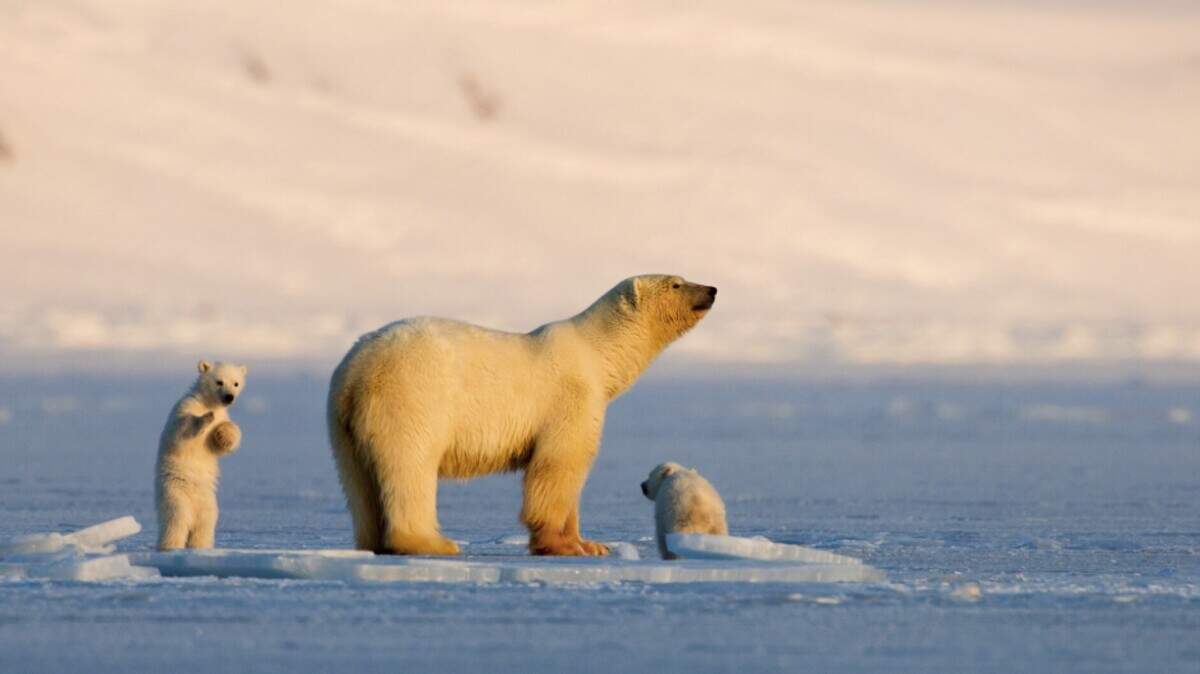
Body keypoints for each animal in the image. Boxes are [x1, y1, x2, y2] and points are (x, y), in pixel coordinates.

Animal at [155, 360, 246, 550]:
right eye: (219, 382)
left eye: (236, 383)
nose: (229, 397)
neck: (208, 402)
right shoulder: (185, 406)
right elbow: (180, 431)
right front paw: (205, 418)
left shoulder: (223, 415)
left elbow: (219, 443)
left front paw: (224, 434)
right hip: (175, 494)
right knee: (176, 521)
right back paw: (170, 546)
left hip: (208, 503)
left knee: (204, 525)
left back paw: (201, 547)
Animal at [328, 274, 717, 556]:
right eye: (676, 283)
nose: (712, 289)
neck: (596, 353)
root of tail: (357, 370)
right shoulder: (570, 398)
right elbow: (558, 466)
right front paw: (564, 546)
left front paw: (592, 544)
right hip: (411, 398)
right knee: (410, 465)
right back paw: (431, 543)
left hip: (342, 422)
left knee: (358, 482)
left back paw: (372, 542)